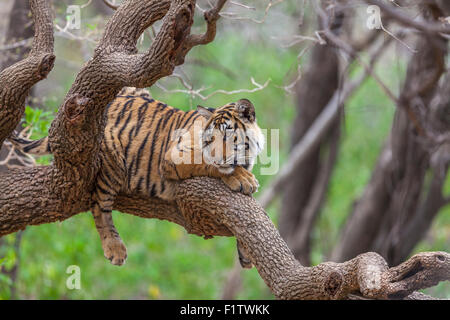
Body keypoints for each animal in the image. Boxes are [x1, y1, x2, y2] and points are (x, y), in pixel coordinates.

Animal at [8, 87, 264, 268]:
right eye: (210, 140)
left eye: (227, 136)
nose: (219, 157)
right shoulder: (174, 157)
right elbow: (208, 164)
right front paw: (243, 179)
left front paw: (246, 253)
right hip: (112, 161)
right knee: (100, 207)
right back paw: (114, 248)